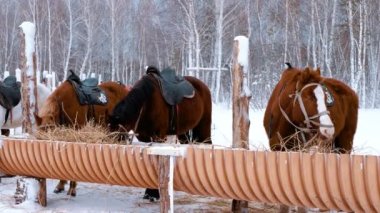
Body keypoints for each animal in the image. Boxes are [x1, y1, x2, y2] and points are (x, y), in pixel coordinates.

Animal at [108, 65, 212, 201]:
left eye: (116, 132)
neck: (147, 104)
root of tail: (203, 86)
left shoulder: (159, 138)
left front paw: (152, 193)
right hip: (182, 133)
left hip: (204, 128)